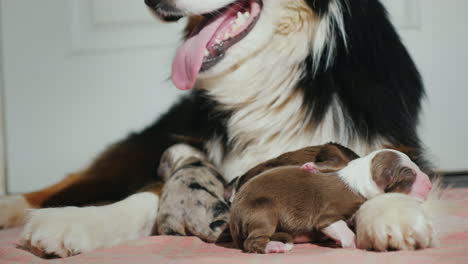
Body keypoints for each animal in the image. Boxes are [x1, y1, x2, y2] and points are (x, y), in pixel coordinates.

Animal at [229, 150, 432, 253]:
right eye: (409, 174)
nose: (430, 184)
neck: (360, 178)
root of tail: (233, 222)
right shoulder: (328, 217)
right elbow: (340, 227)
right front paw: (354, 242)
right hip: (263, 209)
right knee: (252, 242)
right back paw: (274, 246)